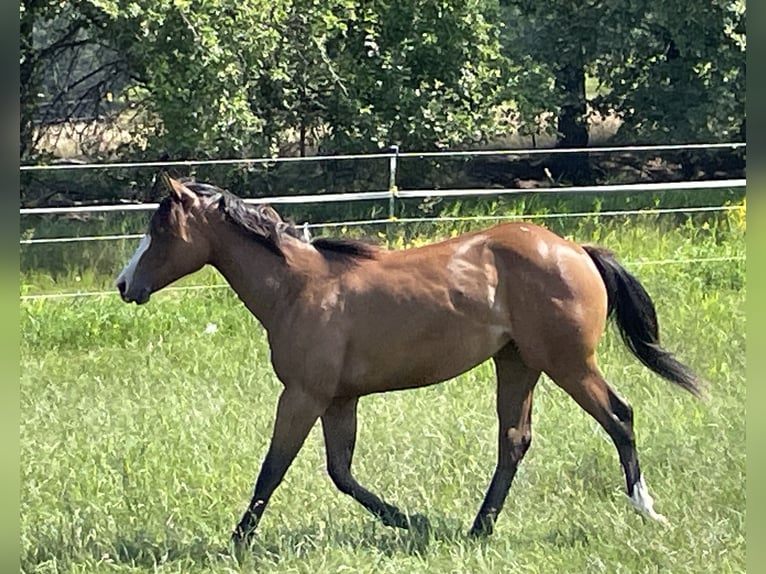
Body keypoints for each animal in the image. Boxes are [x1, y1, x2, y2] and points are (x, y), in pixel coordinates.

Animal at [112, 173, 704, 548]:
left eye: (160, 230)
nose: (123, 285)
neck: (299, 287)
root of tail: (576, 249)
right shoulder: (339, 400)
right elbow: (341, 474)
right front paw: (411, 521)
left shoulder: (303, 394)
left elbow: (272, 471)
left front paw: (237, 542)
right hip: (518, 364)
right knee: (514, 441)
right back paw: (477, 529)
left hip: (569, 363)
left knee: (619, 417)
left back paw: (645, 508)